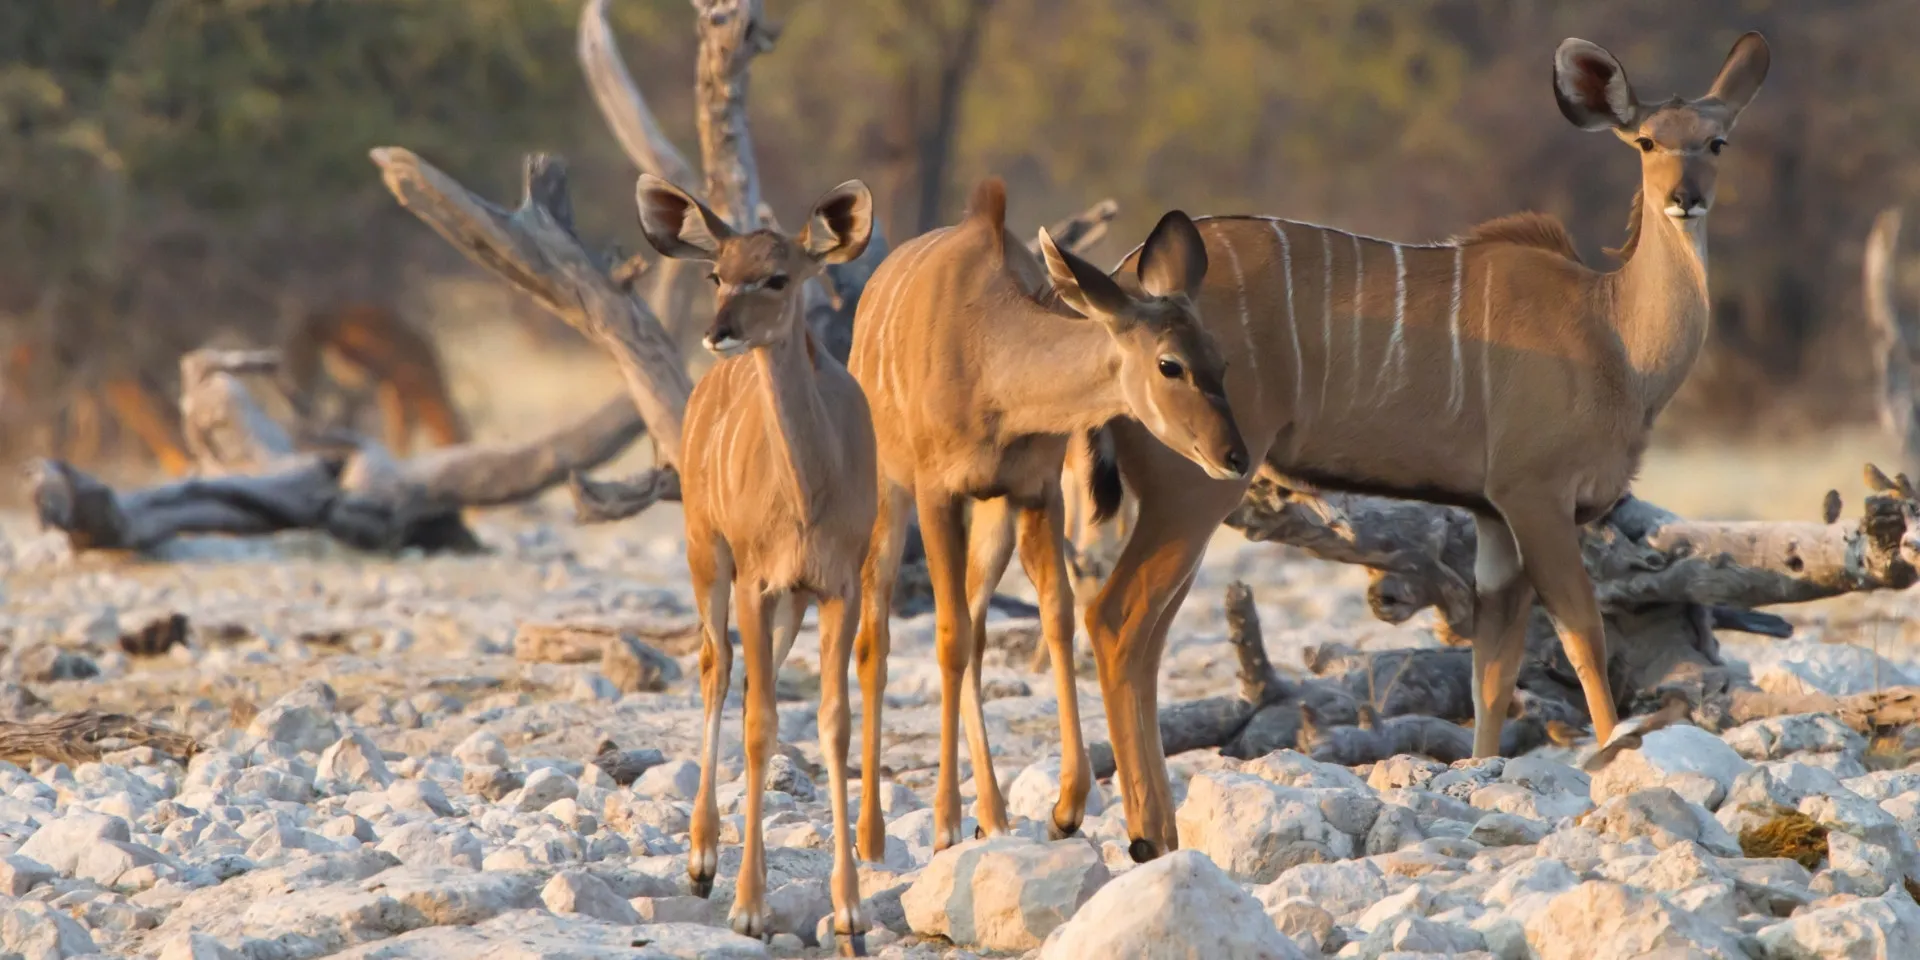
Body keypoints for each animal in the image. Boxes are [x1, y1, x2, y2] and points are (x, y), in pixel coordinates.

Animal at [634, 173, 877, 952]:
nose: (720, 332)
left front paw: (850, 914)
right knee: (719, 671)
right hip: (706, 555)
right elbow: (762, 721)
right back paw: (703, 862)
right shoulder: (755, 580)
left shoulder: (836, 586)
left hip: (786, 603)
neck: (807, 495)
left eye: (779, 276)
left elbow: (831, 722)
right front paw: (746, 907)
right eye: (716, 273)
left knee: (748, 689)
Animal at [846, 177, 1248, 856]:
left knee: (979, 628)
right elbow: (948, 637)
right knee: (878, 637)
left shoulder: (1036, 493)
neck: (989, 356)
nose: (1235, 457)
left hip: (993, 519)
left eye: (1221, 360)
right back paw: (873, 836)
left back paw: (994, 815)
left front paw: (1066, 807)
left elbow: (1056, 618)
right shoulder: (936, 494)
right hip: (887, 497)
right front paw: (944, 823)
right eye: (1169, 363)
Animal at [1075, 32, 1770, 863]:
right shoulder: (1537, 499)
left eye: (1717, 142)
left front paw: (1483, 780)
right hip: (1195, 484)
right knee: (1120, 620)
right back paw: (1150, 835)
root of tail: (1113, 292)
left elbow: (1492, 669)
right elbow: (1582, 633)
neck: (1613, 332)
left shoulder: (1495, 518)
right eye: (1645, 142)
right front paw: (1615, 760)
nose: (1685, 197)